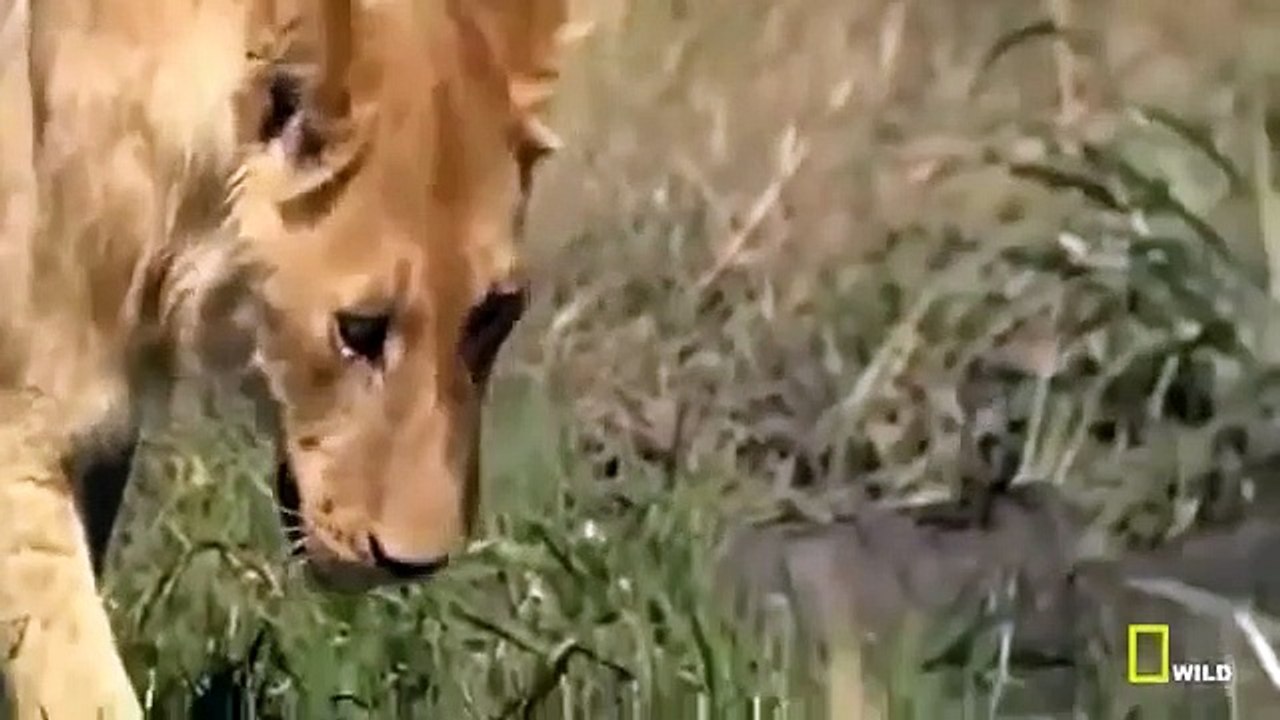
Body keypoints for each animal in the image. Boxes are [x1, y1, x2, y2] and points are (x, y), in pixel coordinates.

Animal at [0, 0, 574, 716]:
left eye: (493, 316)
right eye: (359, 331)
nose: (416, 565)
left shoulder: (96, 435)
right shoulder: (21, 431)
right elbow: (76, 670)